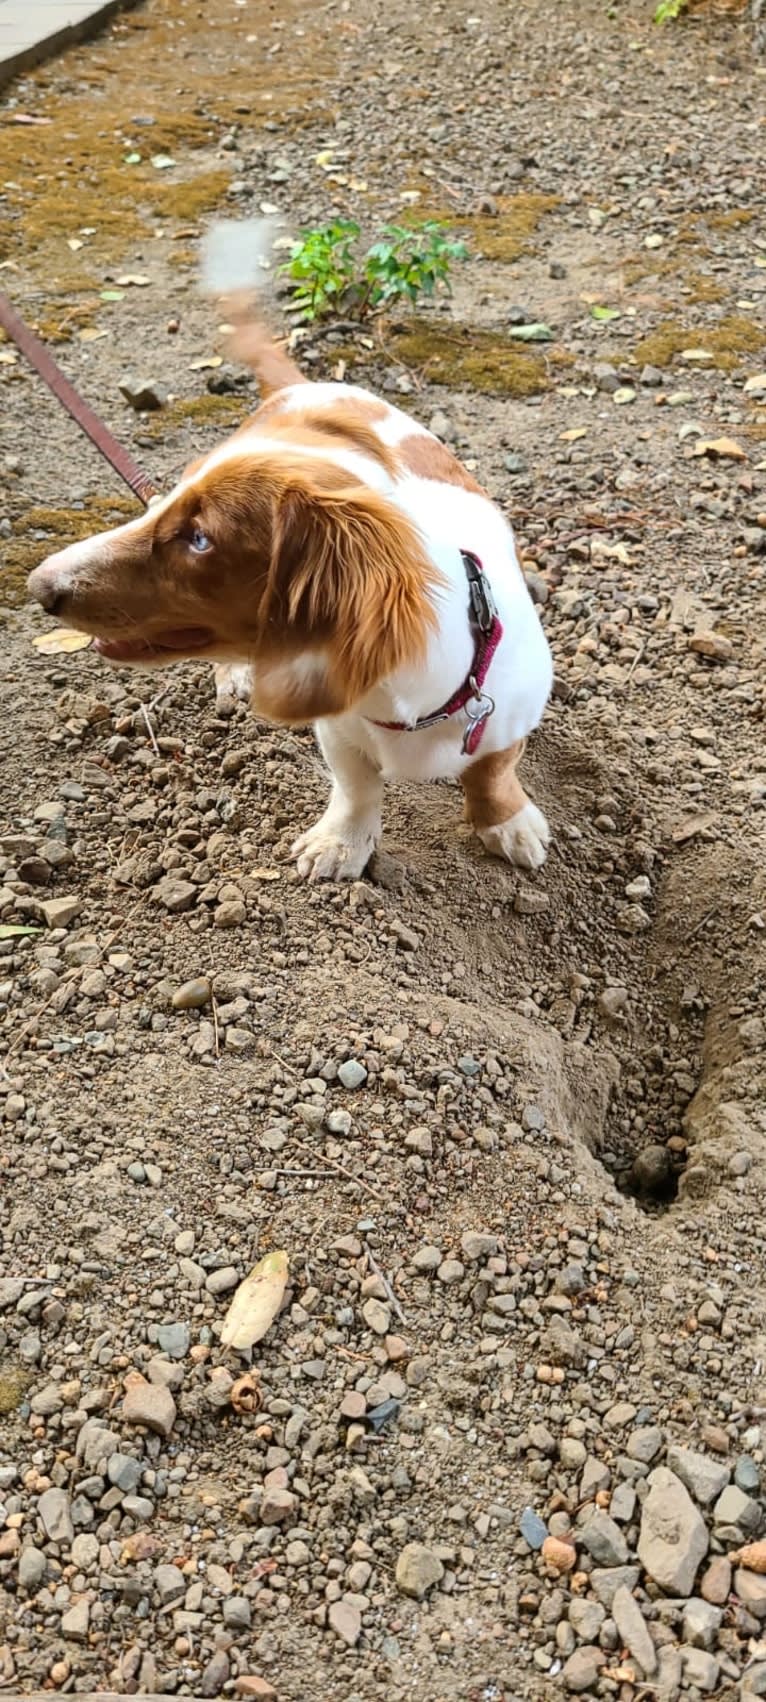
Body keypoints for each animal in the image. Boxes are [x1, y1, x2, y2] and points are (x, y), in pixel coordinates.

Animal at [26, 313, 554, 885]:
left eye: (199, 538)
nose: (38, 584)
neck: (408, 704)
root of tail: (305, 386)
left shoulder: (508, 722)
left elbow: (492, 772)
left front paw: (508, 823)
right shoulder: (339, 732)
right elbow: (358, 787)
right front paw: (341, 843)